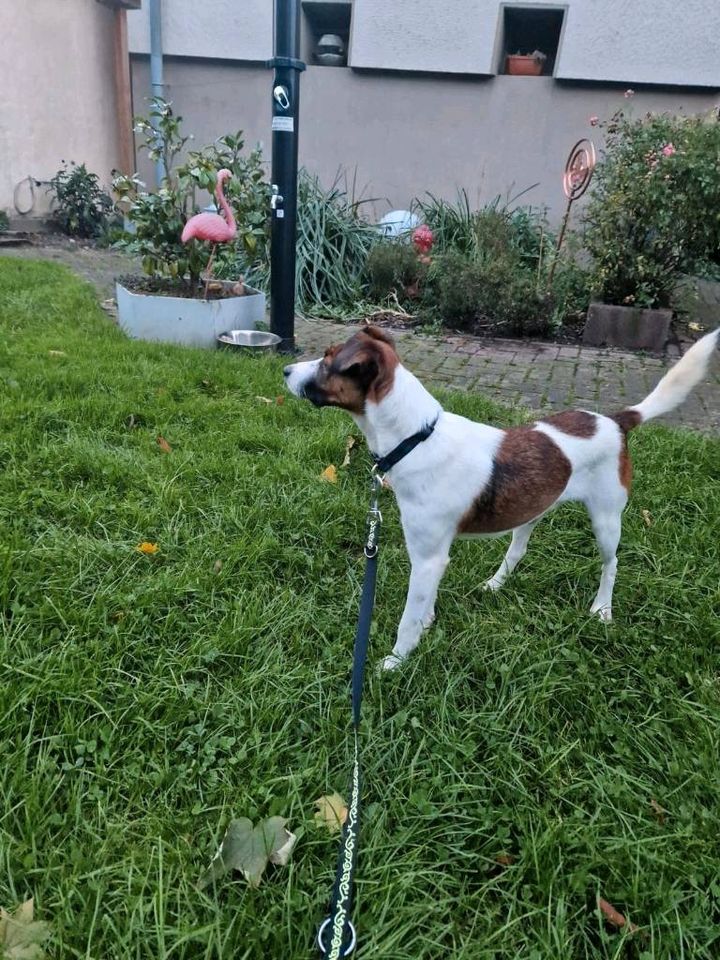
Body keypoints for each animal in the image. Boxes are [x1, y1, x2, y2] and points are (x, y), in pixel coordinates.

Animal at [284, 328, 716, 668]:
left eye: (327, 360)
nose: (285, 370)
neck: (416, 437)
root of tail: (614, 420)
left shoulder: (427, 558)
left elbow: (408, 617)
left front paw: (396, 661)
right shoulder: (434, 557)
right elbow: (425, 604)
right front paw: (425, 627)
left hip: (607, 520)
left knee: (611, 564)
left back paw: (602, 609)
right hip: (532, 508)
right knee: (518, 549)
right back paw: (496, 583)